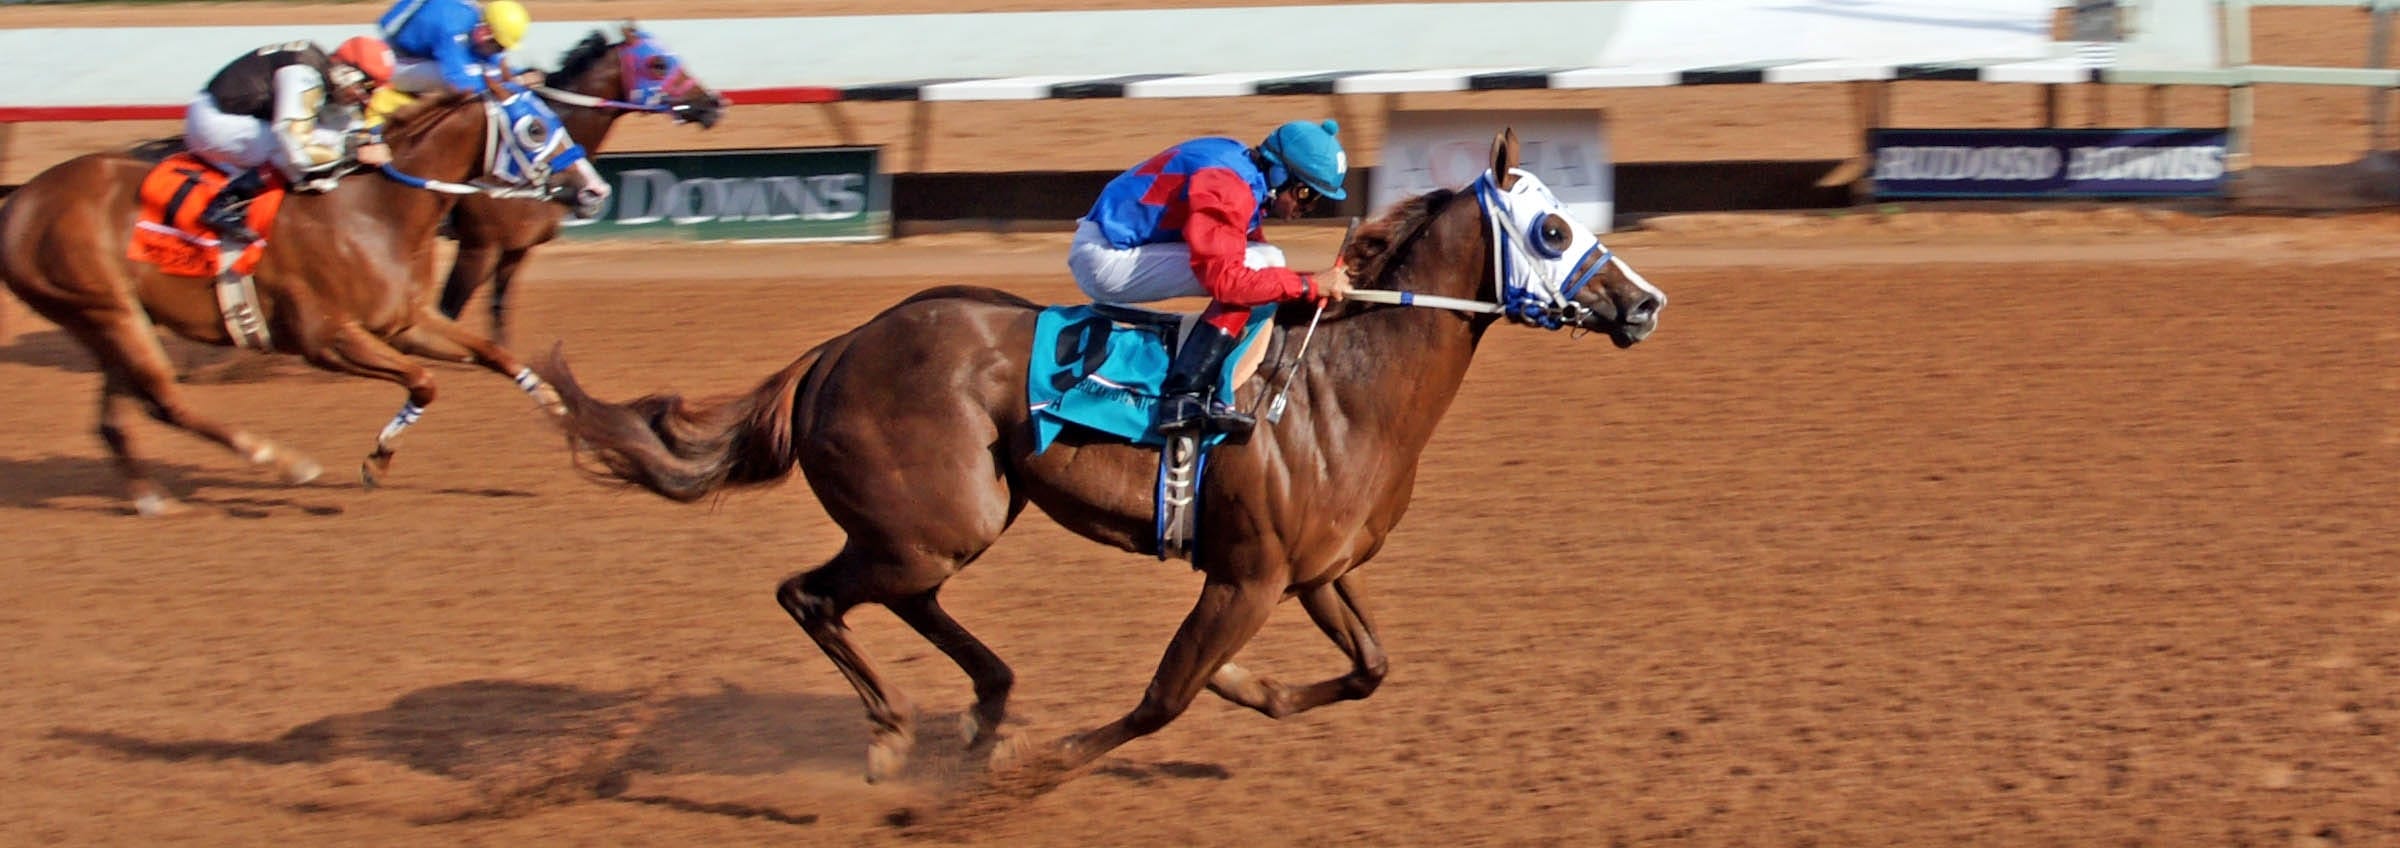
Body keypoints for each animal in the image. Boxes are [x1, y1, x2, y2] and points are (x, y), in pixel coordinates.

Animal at [0, 92, 609, 514]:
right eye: (535, 127)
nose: (595, 191)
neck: (372, 209)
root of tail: (21, 201)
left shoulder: (405, 322)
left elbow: (493, 356)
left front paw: (571, 419)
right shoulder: (326, 338)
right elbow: (423, 382)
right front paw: (377, 461)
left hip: (109, 319)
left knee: (120, 415)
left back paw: (150, 497)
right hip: (106, 309)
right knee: (165, 400)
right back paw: (281, 462)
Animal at [436, 26, 724, 343]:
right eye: (659, 64)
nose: (712, 103)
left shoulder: (516, 249)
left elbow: (498, 312)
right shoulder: (478, 247)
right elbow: (446, 312)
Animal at [540, 130, 1670, 787]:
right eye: (1552, 227)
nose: (1645, 303)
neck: (1339, 389)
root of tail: (835, 349)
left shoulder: (1316, 571)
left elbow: (1368, 669)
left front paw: (1246, 685)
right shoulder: (1245, 575)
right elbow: (1162, 698)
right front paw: (1044, 760)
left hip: (946, 521)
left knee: (895, 600)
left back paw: (982, 706)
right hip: (935, 521)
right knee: (810, 593)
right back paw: (900, 731)